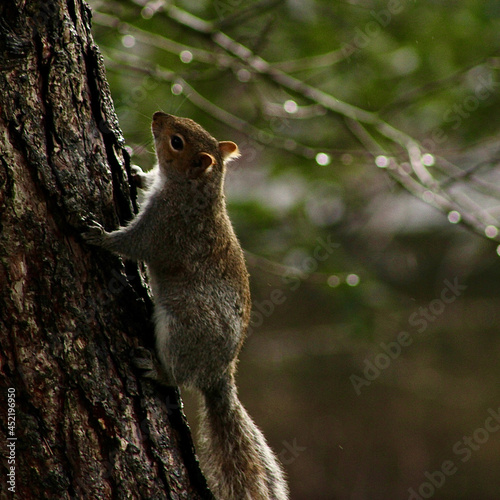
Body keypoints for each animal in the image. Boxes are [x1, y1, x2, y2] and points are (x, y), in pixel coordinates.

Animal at [84, 112, 290, 500]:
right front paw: (135, 171)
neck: (198, 190)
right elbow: (147, 180)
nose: (157, 116)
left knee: (178, 375)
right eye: (188, 126)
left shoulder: (165, 227)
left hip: (183, 326)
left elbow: (132, 244)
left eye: (176, 142)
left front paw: (97, 234)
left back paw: (156, 368)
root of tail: (219, 371)